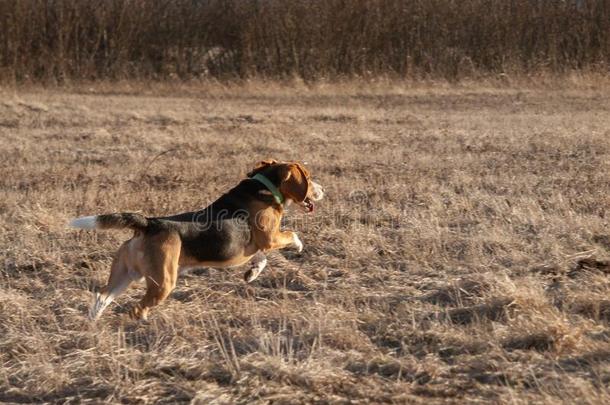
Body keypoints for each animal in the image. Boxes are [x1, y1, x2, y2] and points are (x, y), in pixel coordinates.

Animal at [70, 159, 324, 320]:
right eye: (308, 178)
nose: (323, 190)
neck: (265, 187)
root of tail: (149, 223)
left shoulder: (258, 246)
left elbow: (261, 259)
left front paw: (252, 274)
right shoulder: (270, 237)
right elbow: (291, 235)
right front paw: (298, 245)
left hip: (125, 274)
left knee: (102, 296)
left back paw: (92, 325)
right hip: (163, 283)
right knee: (136, 310)